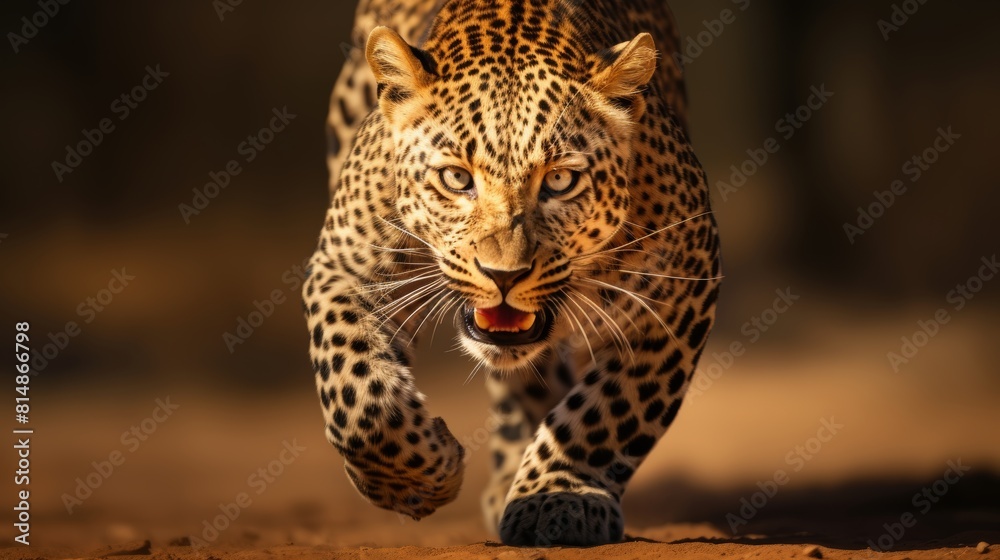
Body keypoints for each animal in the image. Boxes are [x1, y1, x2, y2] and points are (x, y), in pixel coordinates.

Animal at [302, 0, 721, 546]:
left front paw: (557, 497)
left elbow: (611, 411)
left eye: (560, 180)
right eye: (456, 178)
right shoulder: (344, 268)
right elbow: (356, 393)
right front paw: (417, 481)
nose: (503, 275)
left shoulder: (682, 289)